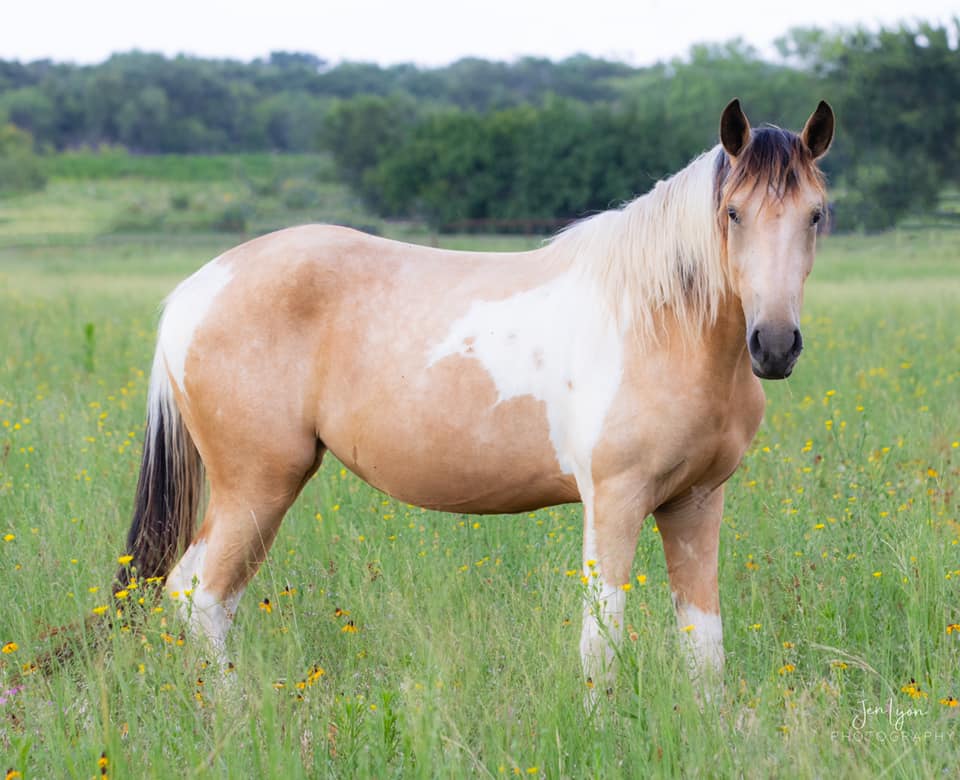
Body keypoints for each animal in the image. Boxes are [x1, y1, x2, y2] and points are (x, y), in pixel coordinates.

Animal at [120, 100, 832, 692]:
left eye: (816, 214)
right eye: (733, 213)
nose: (774, 344)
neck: (659, 321)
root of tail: (195, 291)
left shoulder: (695, 503)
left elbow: (703, 648)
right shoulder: (615, 501)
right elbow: (601, 643)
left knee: (188, 593)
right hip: (258, 486)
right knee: (205, 602)